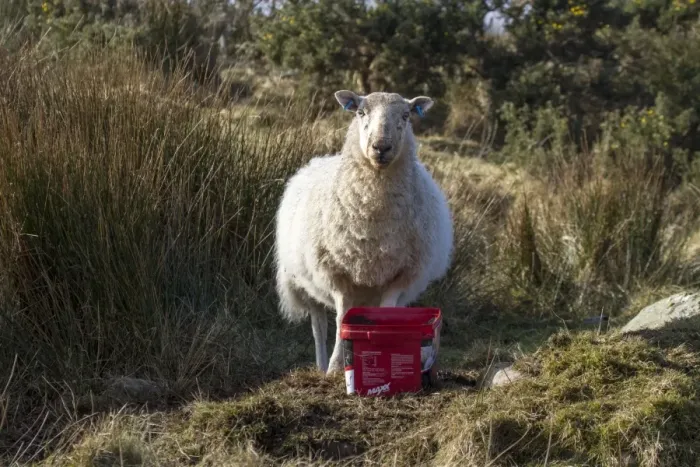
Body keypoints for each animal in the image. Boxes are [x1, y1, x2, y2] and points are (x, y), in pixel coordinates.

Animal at [273, 90, 454, 374]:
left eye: (406, 115)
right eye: (360, 112)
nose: (381, 147)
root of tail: (319, 159)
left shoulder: (401, 276)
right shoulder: (337, 276)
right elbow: (339, 323)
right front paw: (336, 367)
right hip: (302, 282)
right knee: (318, 326)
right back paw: (321, 366)